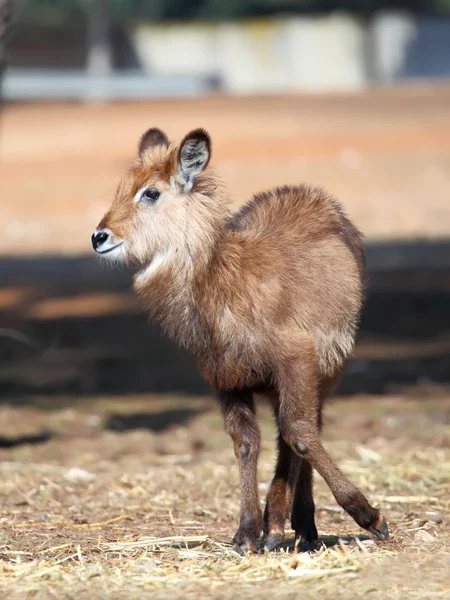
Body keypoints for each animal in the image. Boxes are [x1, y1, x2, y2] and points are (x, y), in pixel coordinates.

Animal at [91, 126, 386, 552]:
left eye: (150, 192)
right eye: (121, 187)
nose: (99, 237)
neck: (219, 281)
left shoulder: (296, 358)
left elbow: (300, 433)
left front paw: (370, 516)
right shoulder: (226, 379)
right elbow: (246, 443)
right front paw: (248, 531)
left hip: (326, 369)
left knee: (303, 427)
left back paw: (292, 523)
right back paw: (287, 524)